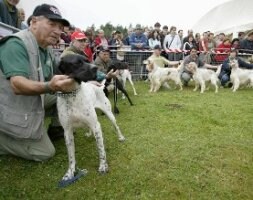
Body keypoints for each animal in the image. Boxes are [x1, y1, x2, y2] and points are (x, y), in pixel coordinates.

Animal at [56, 54, 125, 184]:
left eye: (87, 60)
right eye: (76, 63)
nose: (95, 68)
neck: (71, 94)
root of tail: (99, 86)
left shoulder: (96, 125)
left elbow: (101, 149)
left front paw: (103, 166)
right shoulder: (67, 132)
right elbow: (71, 157)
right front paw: (69, 173)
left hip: (109, 114)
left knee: (116, 127)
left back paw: (121, 137)